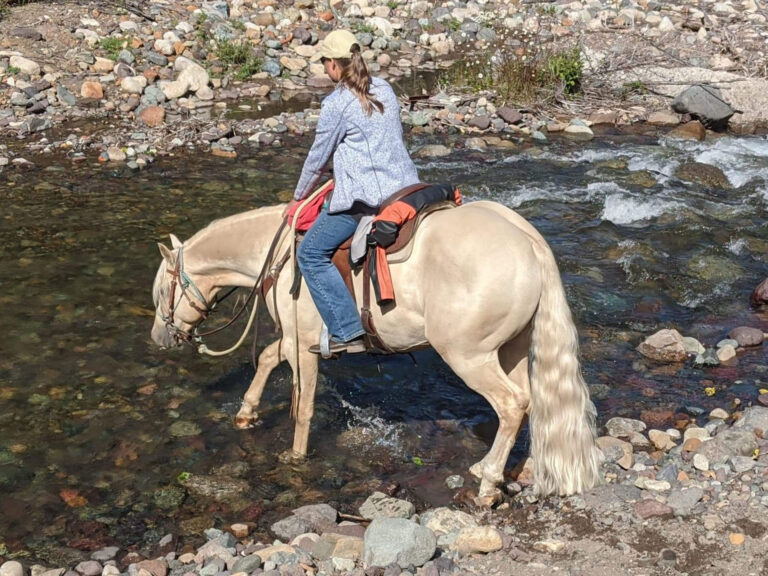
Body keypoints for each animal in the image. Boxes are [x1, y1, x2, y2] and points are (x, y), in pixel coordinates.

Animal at [150, 200, 602, 503]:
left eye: (160, 292)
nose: (159, 338)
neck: (275, 254)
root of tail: (527, 241)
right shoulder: (296, 340)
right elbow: (265, 359)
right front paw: (246, 413)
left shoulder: (303, 346)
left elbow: (304, 407)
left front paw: (295, 458)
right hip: (510, 349)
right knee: (531, 401)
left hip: (468, 355)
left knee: (511, 404)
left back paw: (488, 480)